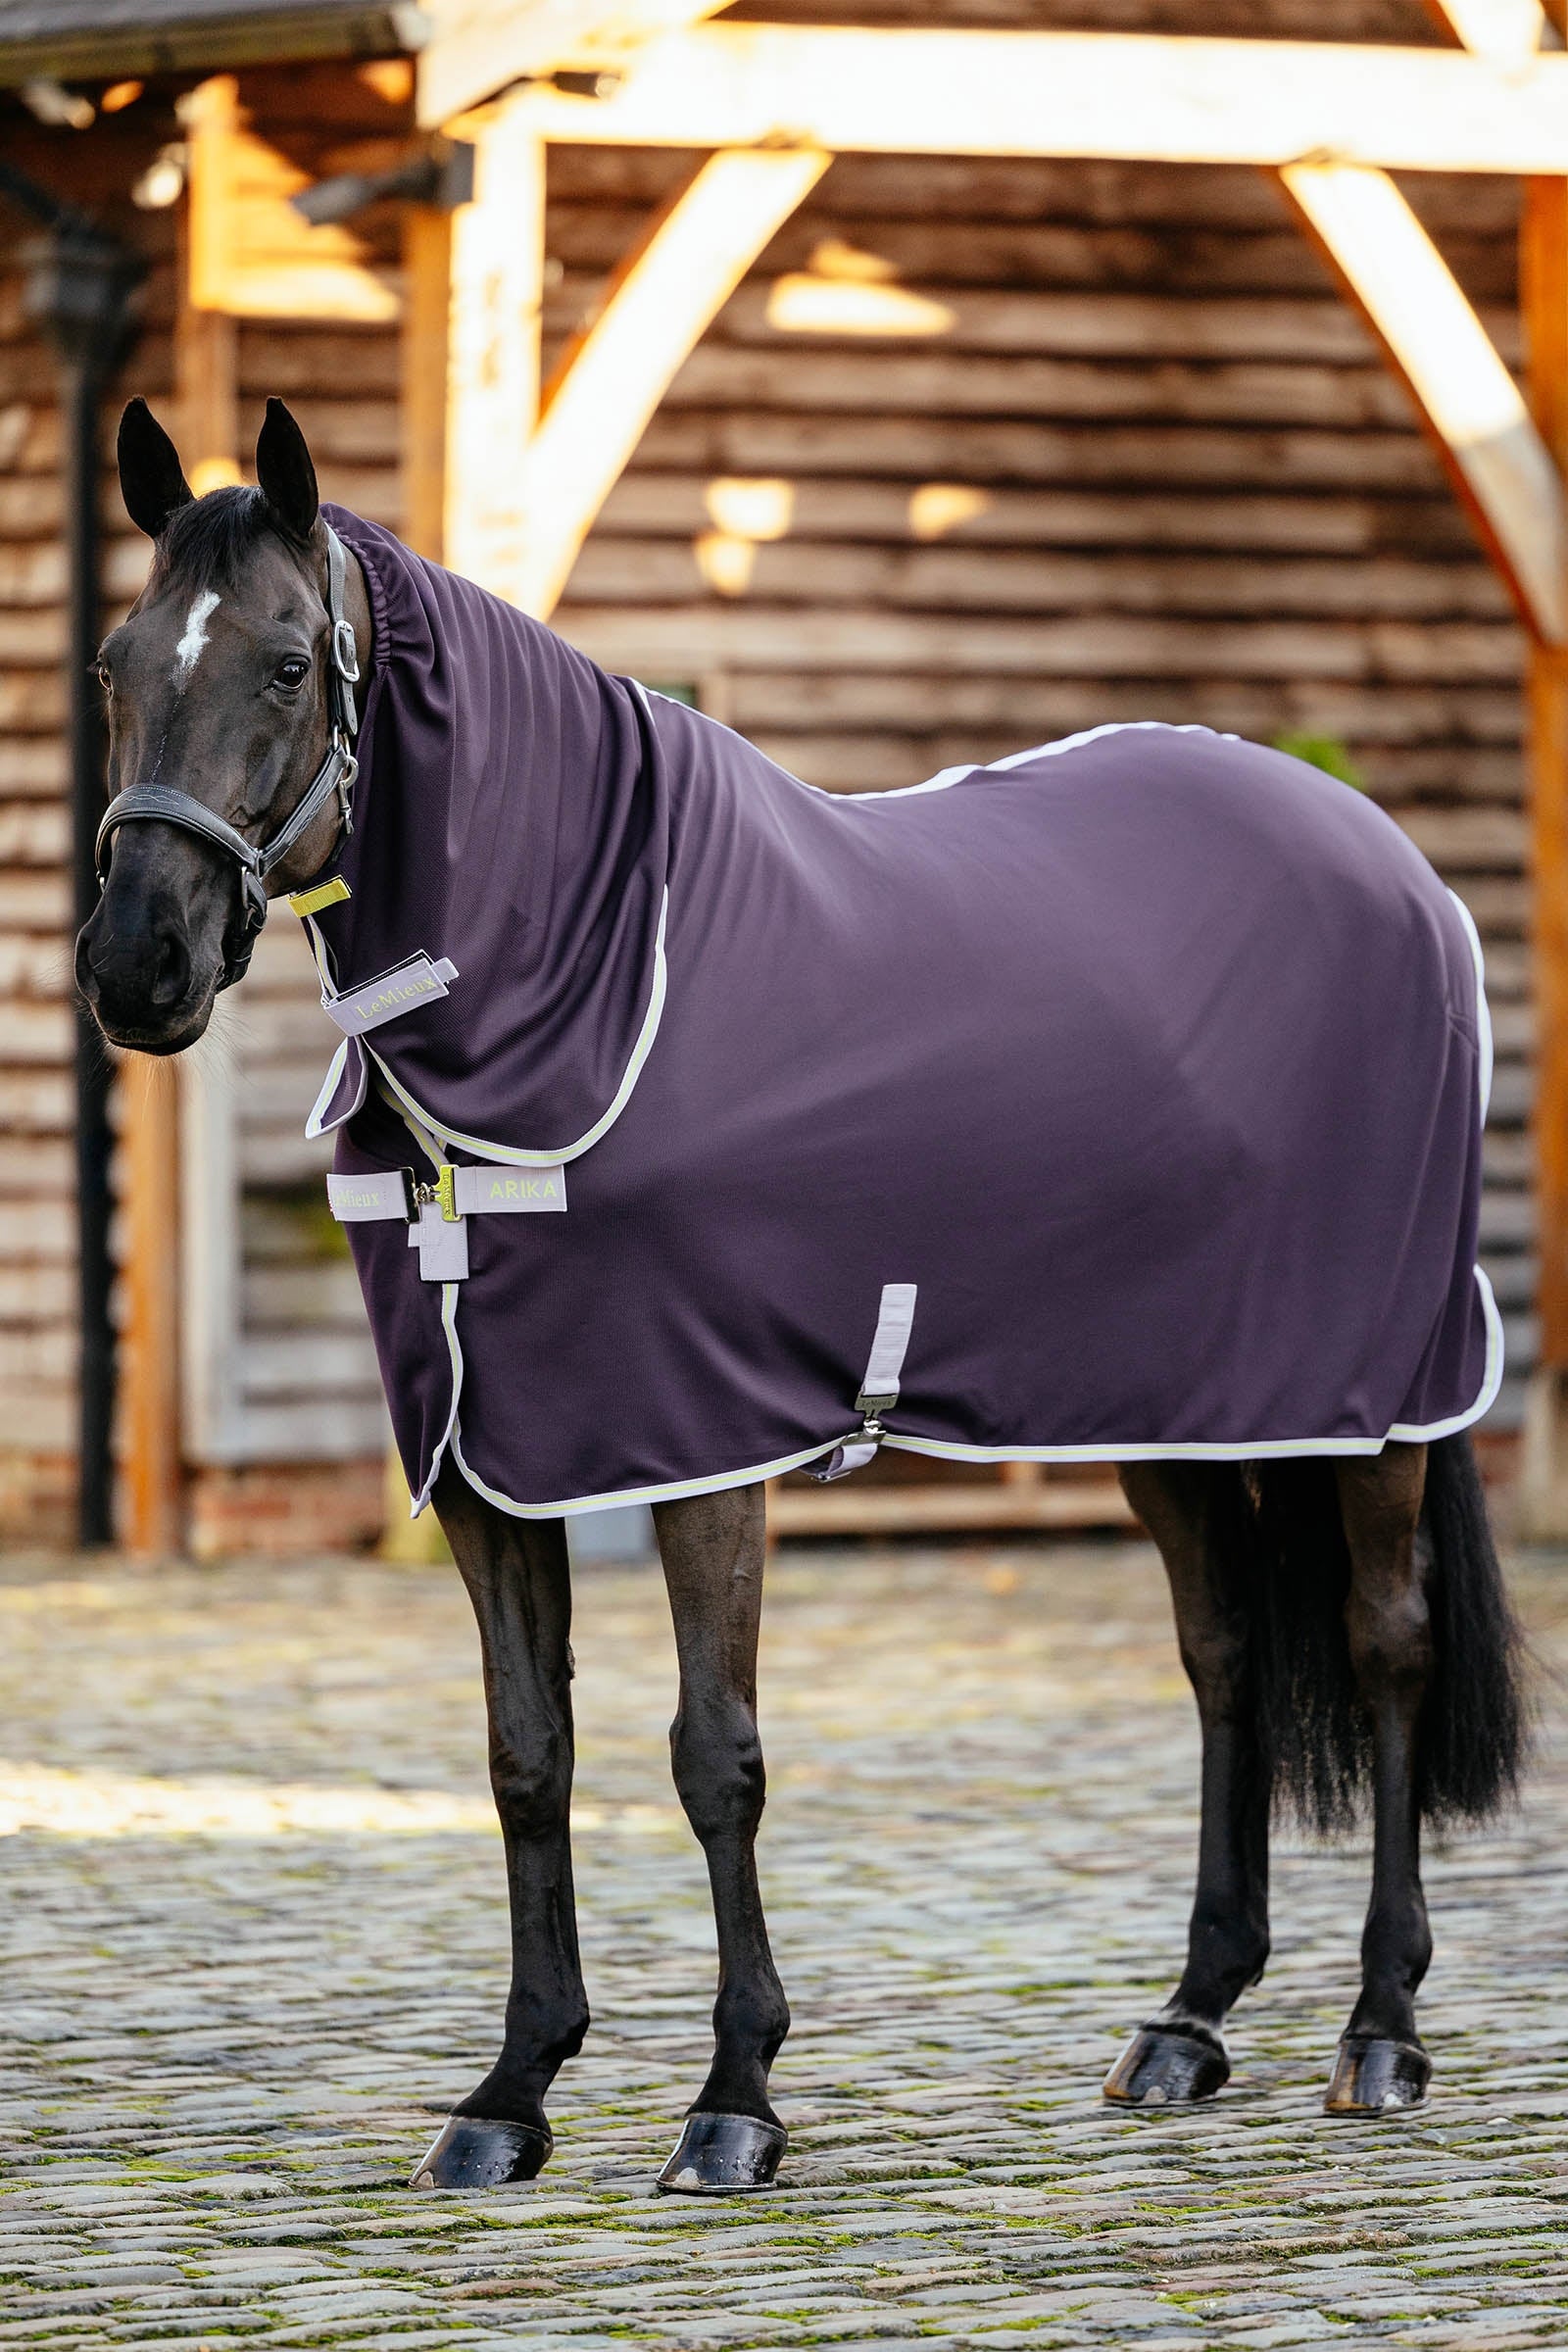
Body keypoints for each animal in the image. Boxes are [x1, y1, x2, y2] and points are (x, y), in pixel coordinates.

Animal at [78, 393, 1526, 2197]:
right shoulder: (490, 1457)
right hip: (1180, 1409)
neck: (594, 972)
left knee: (1387, 1644)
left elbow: (715, 1757)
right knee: (1225, 1658)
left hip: (1376, 1400)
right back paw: (1189, 2023)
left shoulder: (703, 1443)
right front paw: (510, 2096)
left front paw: (735, 2102)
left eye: (286, 663)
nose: (136, 966)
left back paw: (1382, 2031)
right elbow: (527, 1759)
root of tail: (1398, 865)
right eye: (115, 662)